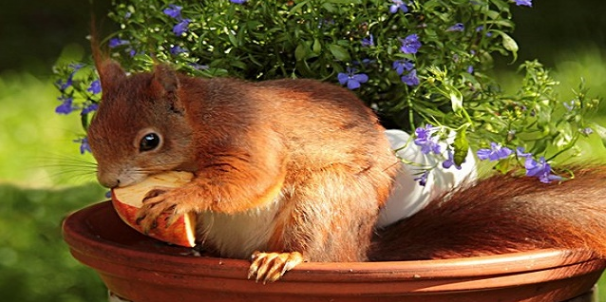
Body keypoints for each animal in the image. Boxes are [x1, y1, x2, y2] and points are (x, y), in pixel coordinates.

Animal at [86, 59, 606, 284]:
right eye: (90, 130)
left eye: (149, 141)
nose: (109, 183)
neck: (196, 120)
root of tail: (360, 250)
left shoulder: (247, 135)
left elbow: (247, 180)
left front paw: (182, 196)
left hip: (324, 199)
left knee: (315, 249)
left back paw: (284, 257)